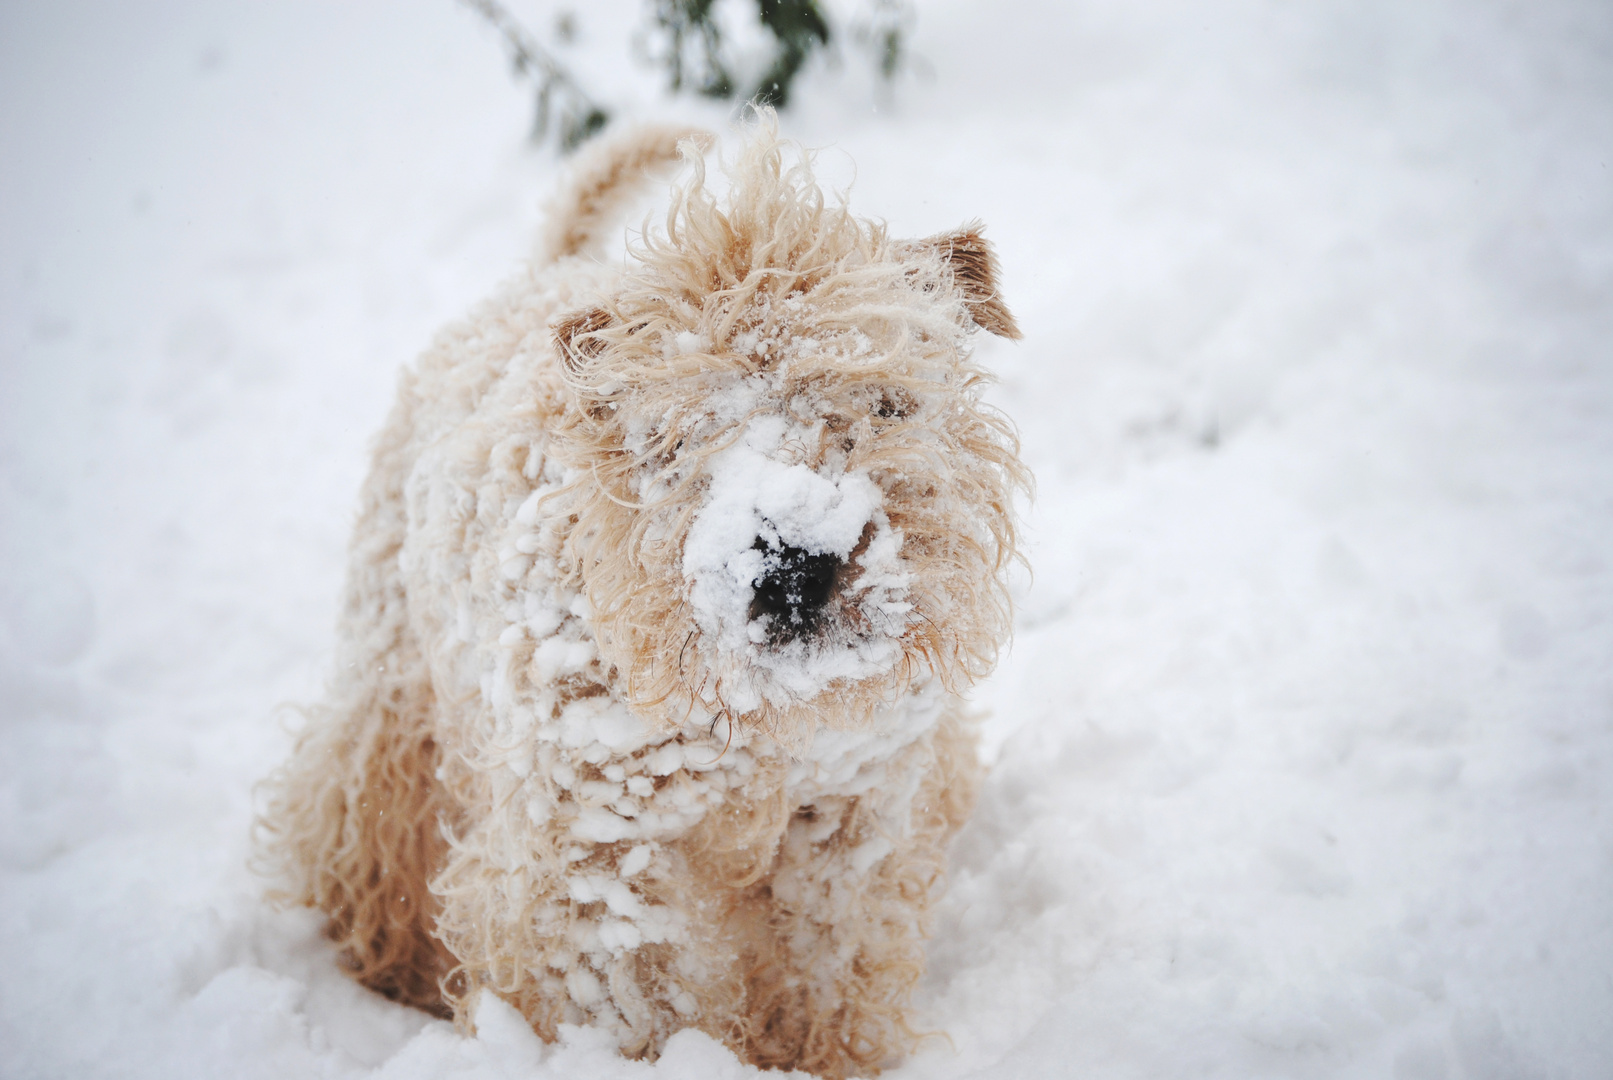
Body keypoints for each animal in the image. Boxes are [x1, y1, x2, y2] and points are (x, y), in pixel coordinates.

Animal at [258, 114, 1025, 1076]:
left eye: (887, 402)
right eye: (678, 434)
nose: (794, 566)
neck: (748, 724)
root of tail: (543, 273)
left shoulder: (850, 824)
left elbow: (826, 975)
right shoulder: (599, 859)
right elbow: (634, 1004)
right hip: (392, 689)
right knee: (362, 834)